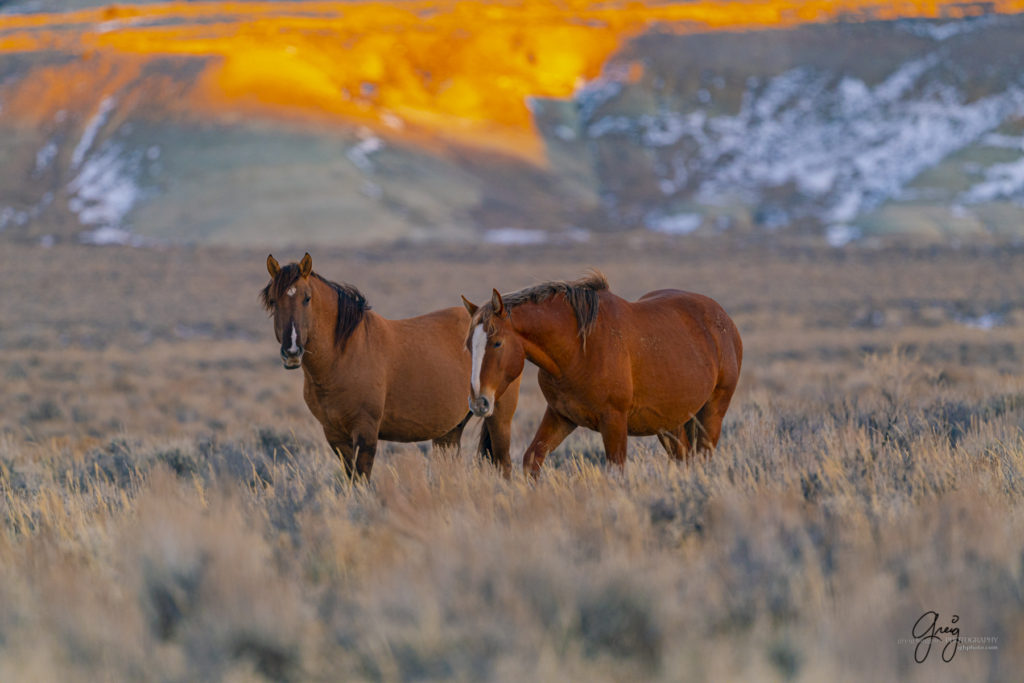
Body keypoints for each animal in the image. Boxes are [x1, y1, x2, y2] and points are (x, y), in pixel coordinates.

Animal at [264, 252, 520, 481]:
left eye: (307, 298)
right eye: (274, 301)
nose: (292, 351)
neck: (343, 355)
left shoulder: (366, 432)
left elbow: (361, 480)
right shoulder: (335, 435)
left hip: (498, 418)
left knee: (504, 464)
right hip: (450, 431)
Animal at [464, 270, 745, 475]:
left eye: (497, 343)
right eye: (468, 345)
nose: (479, 402)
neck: (579, 349)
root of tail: (724, 320)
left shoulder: (614, 421)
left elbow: (616, 471)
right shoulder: (561, 416)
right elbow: (533, 458)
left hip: (712, 413)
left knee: (703, 457)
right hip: (670, 424)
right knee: (683, 458)